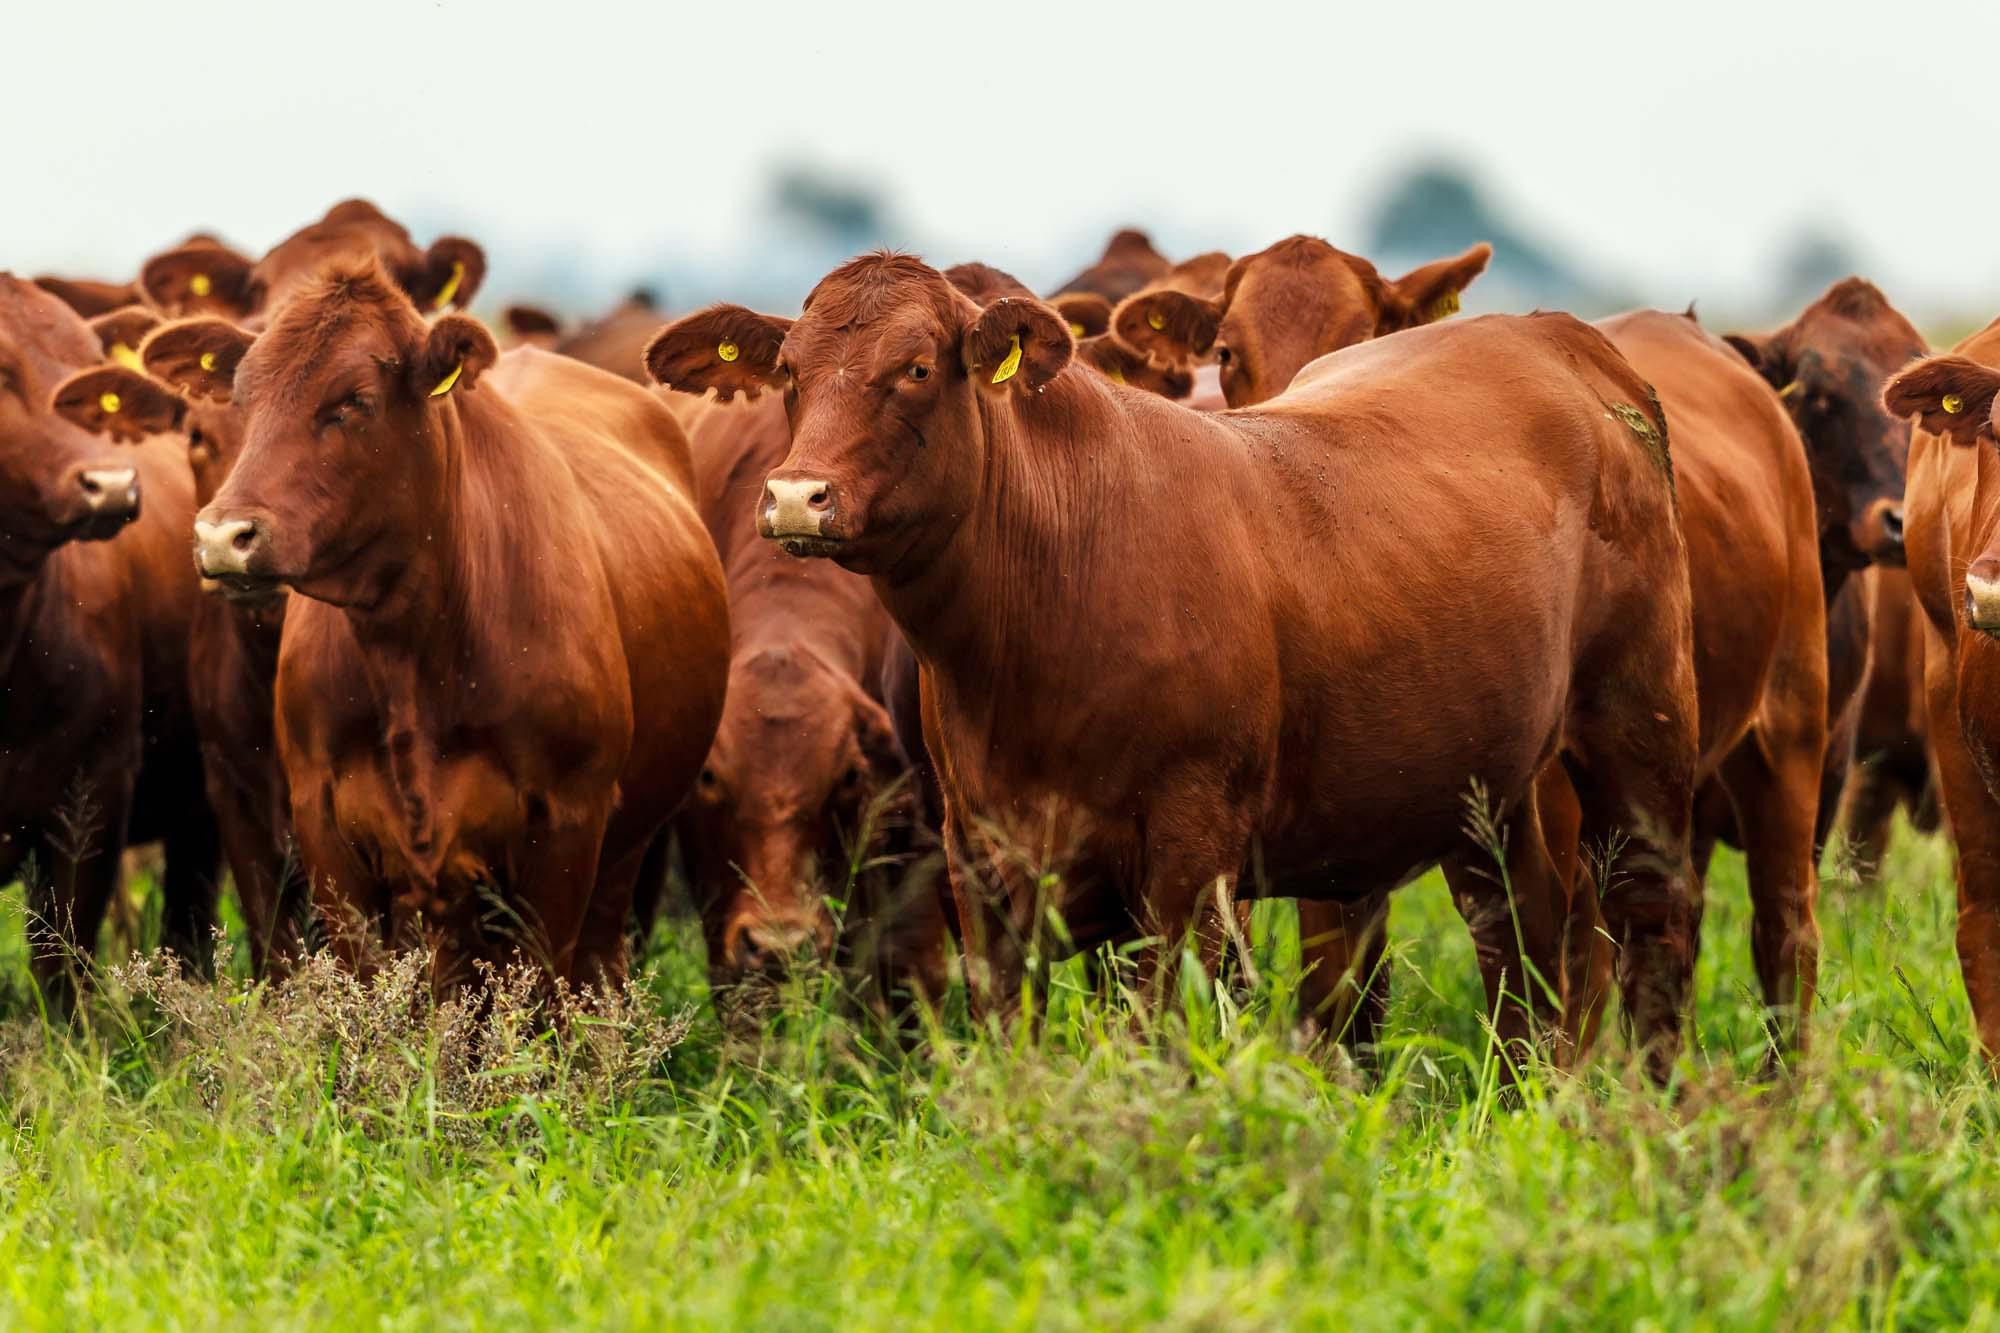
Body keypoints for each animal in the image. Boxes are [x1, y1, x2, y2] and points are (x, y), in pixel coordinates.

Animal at [139, 260, 736, 984]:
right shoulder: (323, 826)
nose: (225, 536)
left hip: (626, 852)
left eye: (354, 401)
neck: (412, 652)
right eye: (243, 398)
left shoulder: (569, 825)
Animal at [644, 254, 1704, 1072]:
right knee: (1519, 949)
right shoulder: (980, 853)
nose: (796, 496)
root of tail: (1562, 339)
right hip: (1494, 792)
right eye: (789, 369)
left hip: (1640, 736)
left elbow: (1161, 1036)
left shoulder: (1190, 856)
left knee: (1653, 928)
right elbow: (1009, 1038)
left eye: (913, 366)